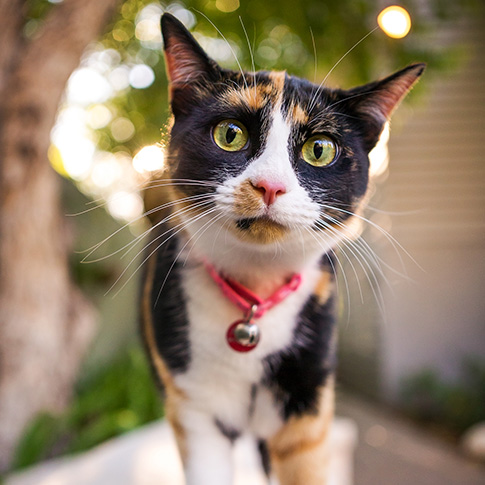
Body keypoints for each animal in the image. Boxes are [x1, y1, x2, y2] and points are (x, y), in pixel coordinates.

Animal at [141, 13, 424, 484]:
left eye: (320, 149)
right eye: (230, 134)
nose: (270, 185)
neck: (256, 293)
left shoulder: (308, 406)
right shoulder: (195, 406)